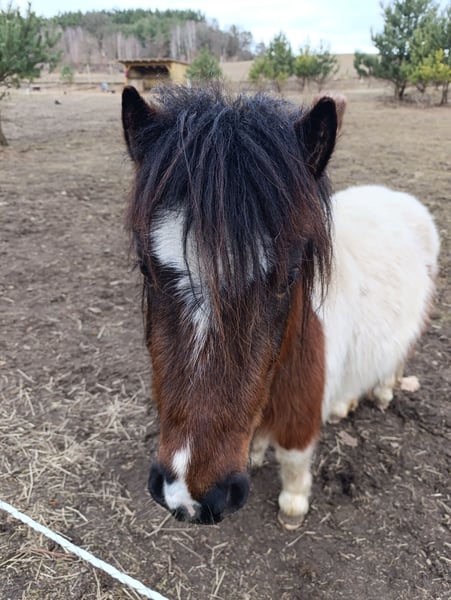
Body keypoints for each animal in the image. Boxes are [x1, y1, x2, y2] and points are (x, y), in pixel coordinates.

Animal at [121, 85, 439, 529]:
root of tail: (396, 197)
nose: (187, 496)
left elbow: (293, 459)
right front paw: (255, 454)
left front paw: (293, 504)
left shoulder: (299, 416)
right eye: (145, 267)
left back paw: (383, 393)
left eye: (289, 276)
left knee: (396, 360)